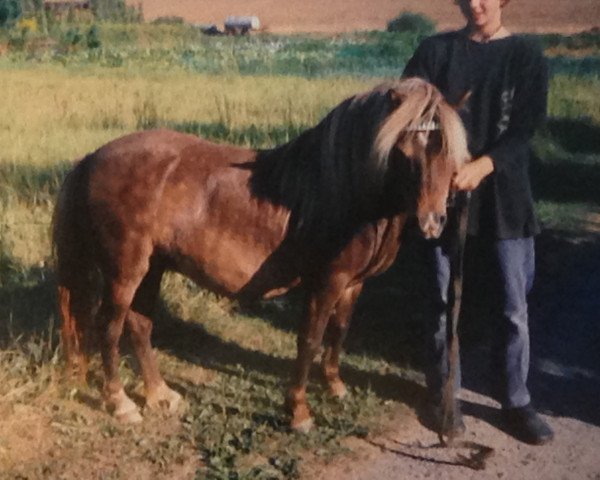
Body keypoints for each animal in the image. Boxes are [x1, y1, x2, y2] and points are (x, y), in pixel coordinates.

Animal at [52, 79, 468, 432]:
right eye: (404, 148)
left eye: (450, 151)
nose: (433, 221)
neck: (341, 189)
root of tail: (92, 157)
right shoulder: (326, 282)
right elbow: (310, 339)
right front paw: (298, 410)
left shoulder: (353, 284)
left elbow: (340, 331)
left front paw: (335, 387)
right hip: (125, 269)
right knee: (109, 327)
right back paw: (121, 403)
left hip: (152, 267)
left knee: (139, 325)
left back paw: (159, 394)